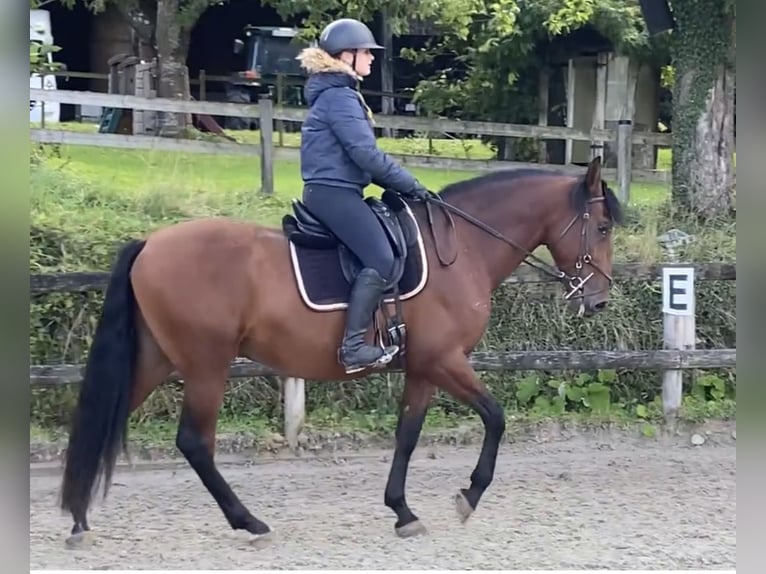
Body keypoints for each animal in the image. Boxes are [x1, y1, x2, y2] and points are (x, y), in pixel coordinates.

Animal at [58, 156, 623, 547]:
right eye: (602, 227)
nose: (598, 300)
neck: (462, 248)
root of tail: (150, 244)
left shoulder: (423, 367)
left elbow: (408, 435)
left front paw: (402, 511)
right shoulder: (445, 360)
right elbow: (496, 417)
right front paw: (469, 496)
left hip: (157, 360)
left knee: (101, 423)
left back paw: (80, 518)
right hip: (205, 365)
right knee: (195, 443)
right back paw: (250, 523)